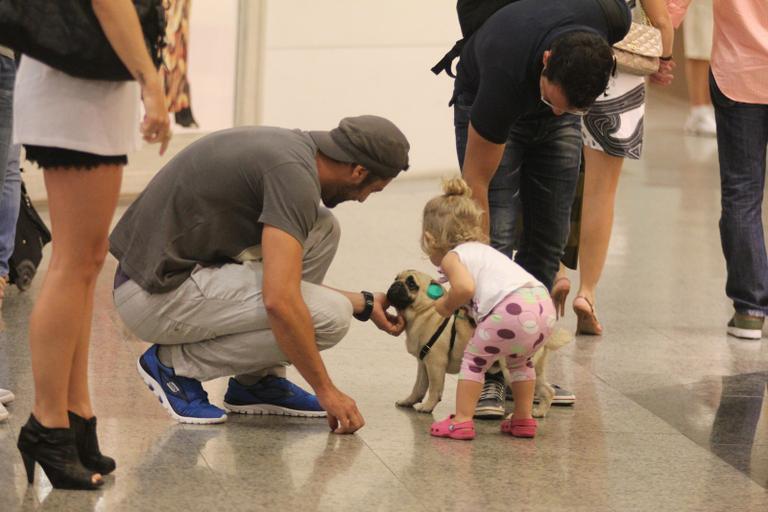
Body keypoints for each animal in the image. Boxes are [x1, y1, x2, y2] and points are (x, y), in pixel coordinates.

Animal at [390, 268, 568, 416]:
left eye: (411, 283)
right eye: (396, 278)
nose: (395, 285)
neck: (426, 311)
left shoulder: (435, 365)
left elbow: (434, 388)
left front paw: (427, 407)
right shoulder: (423, 364)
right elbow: (418, 387)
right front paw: (409, 401)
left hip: (512, 369)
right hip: (536, 369)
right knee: (547, 391)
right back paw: (538, 413)